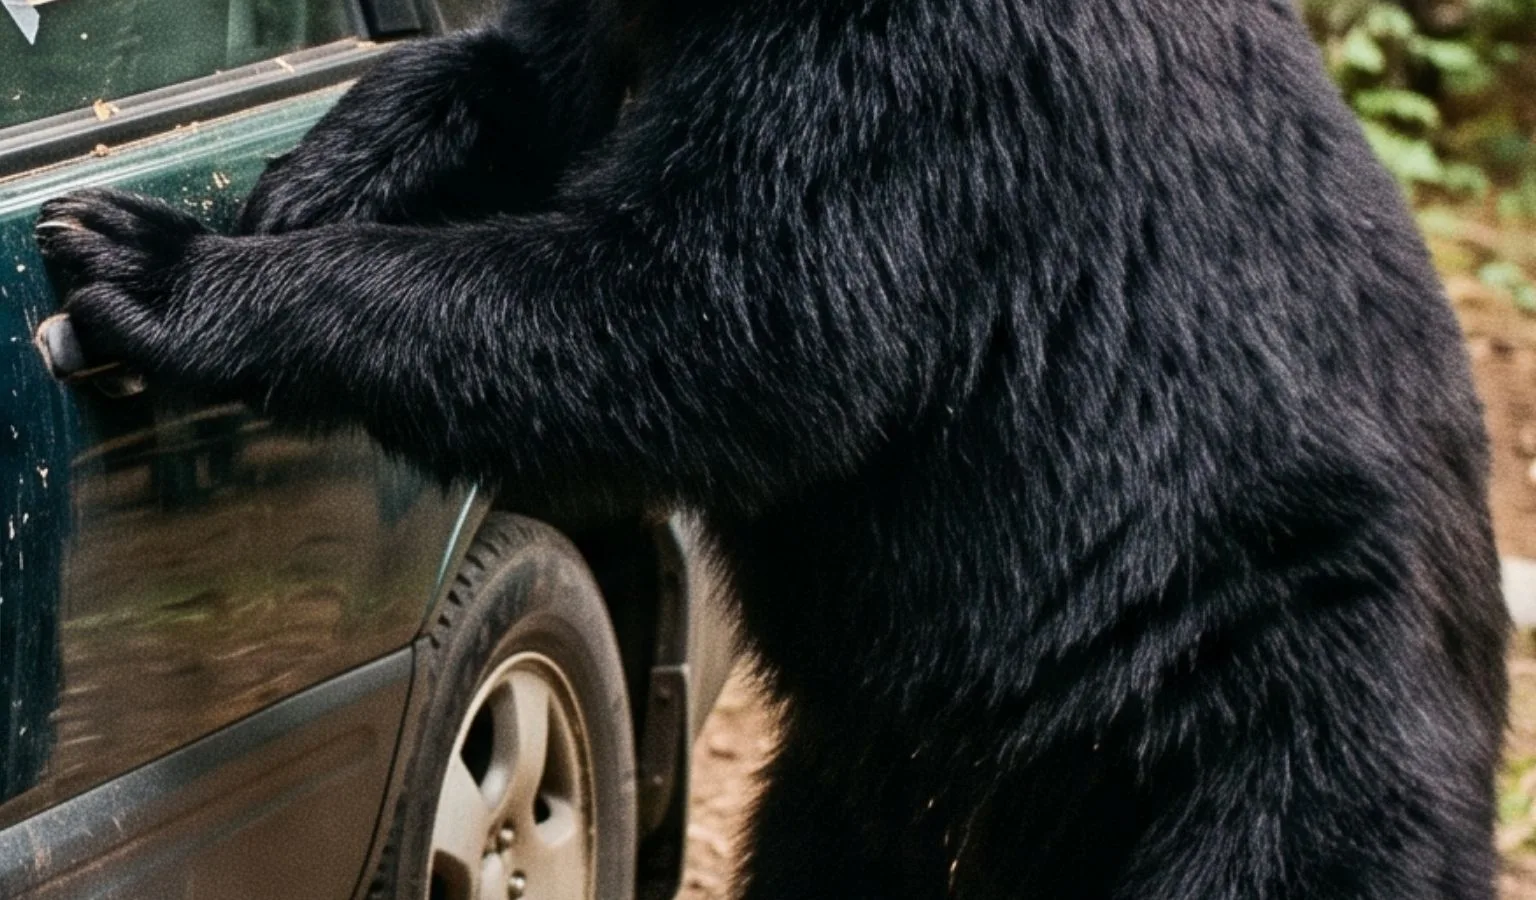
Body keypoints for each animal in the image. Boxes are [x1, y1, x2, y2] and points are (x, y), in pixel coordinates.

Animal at [35, 0, 1509, 896]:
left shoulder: (913, 71)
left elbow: (723, 315)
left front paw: (160, 268)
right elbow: (522, 76)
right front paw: (296, 182)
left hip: (1263, 749)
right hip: (870, 768)